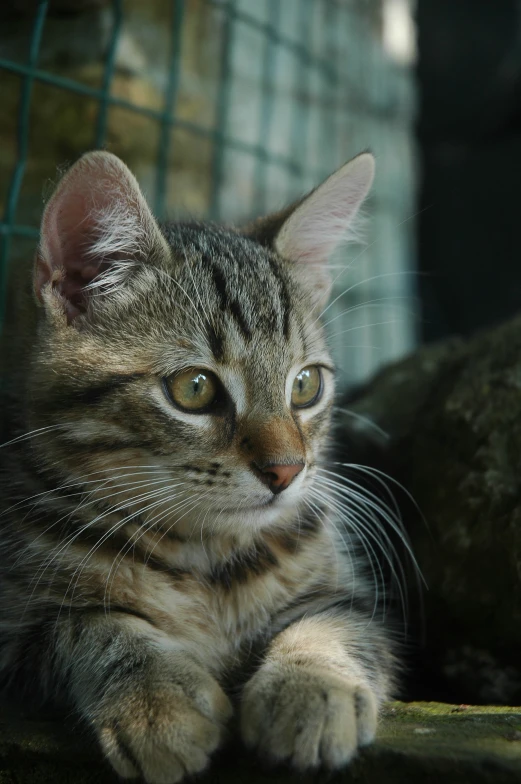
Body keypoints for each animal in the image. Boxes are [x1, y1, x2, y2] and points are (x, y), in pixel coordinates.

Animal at [0, 153, 396, 784]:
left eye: (306, 385)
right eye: (194, 389)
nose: (287, 470)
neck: (207, 557)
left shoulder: (345, 592)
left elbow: (333, 623)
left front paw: (313, 687)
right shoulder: (16, 633)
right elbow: (88, 624)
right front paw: (157, 702)